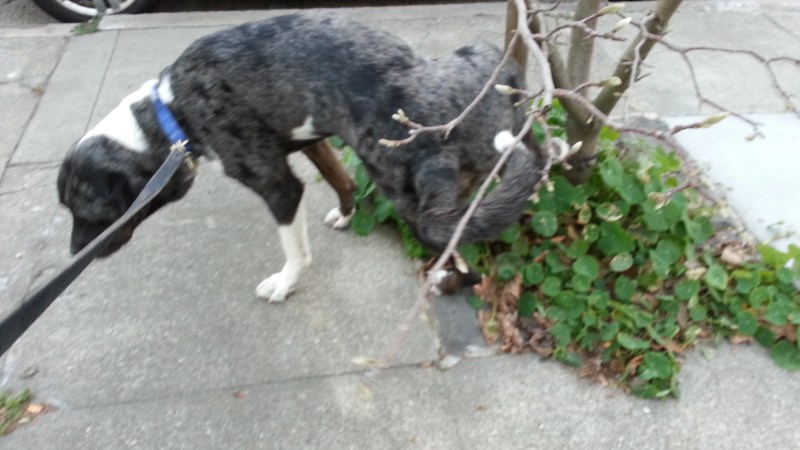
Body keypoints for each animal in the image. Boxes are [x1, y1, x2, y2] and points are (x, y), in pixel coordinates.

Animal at [57, 11, 541, 302]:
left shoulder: (280, 188)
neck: (170, 112)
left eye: (94, 211)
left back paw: (446, 280)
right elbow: (341, 179)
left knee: (460, 252)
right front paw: (346, 214)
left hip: (412, 197)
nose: (78, 254)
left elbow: (295, 249)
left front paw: (285, 283)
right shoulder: (314, 139)